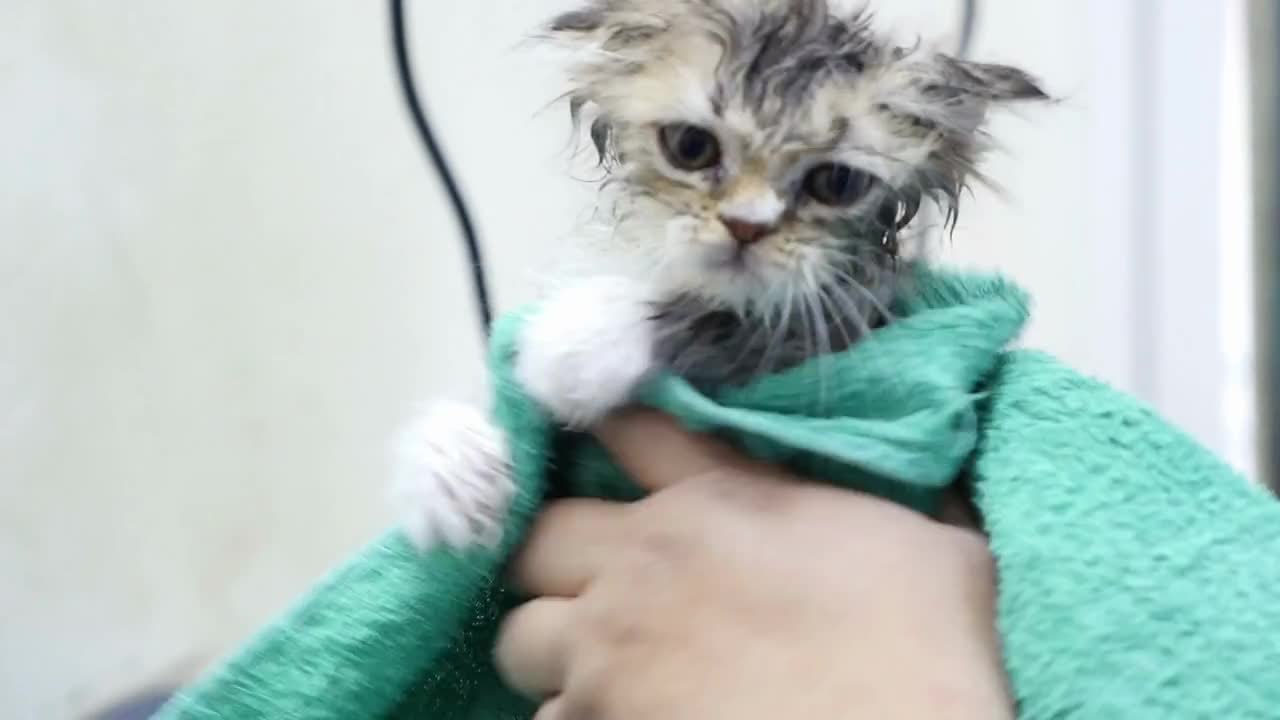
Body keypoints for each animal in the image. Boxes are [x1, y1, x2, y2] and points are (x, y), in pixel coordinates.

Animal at [394, 0, 1044, 545]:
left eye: (836, 182)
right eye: (690, 146)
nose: (746, 226)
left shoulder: (848, 328)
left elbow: (723, 319)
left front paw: (577, 342)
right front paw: (451, 465)